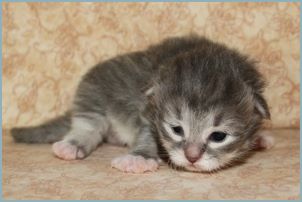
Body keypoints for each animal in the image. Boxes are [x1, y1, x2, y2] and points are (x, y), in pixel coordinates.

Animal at [10, 35, 274, 173]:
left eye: (218, 136)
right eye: (176, 129)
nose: (192, 157)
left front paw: (258, 138)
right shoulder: (147, 111)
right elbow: (147, 133)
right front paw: (140, 157)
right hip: (94, 88)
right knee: (88, 124)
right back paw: (72, 144)